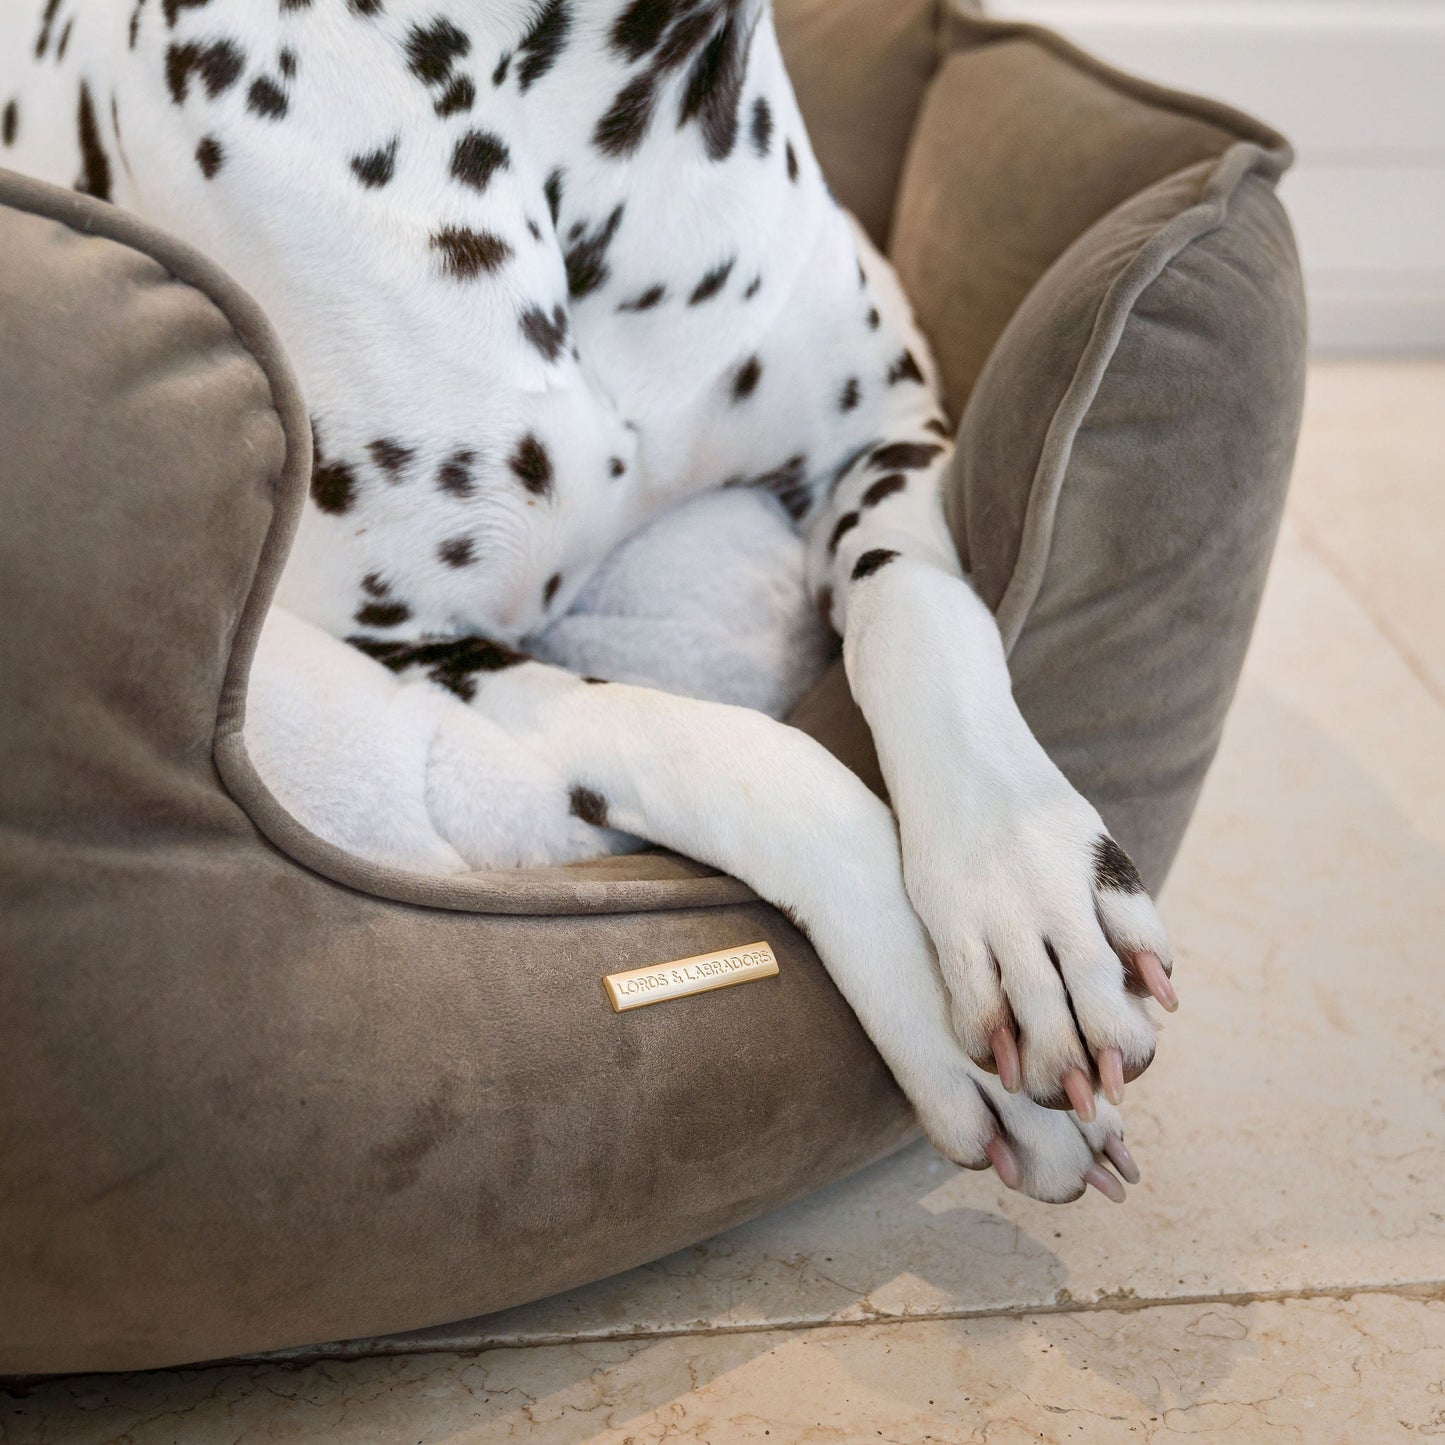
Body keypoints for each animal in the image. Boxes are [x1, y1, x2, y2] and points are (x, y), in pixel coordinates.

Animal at [0, 0, 1179, 1196]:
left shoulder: (882, 437)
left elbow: (926, 619)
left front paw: (1029, 894)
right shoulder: (394, 641)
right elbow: (745, 750)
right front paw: (939, 1019)